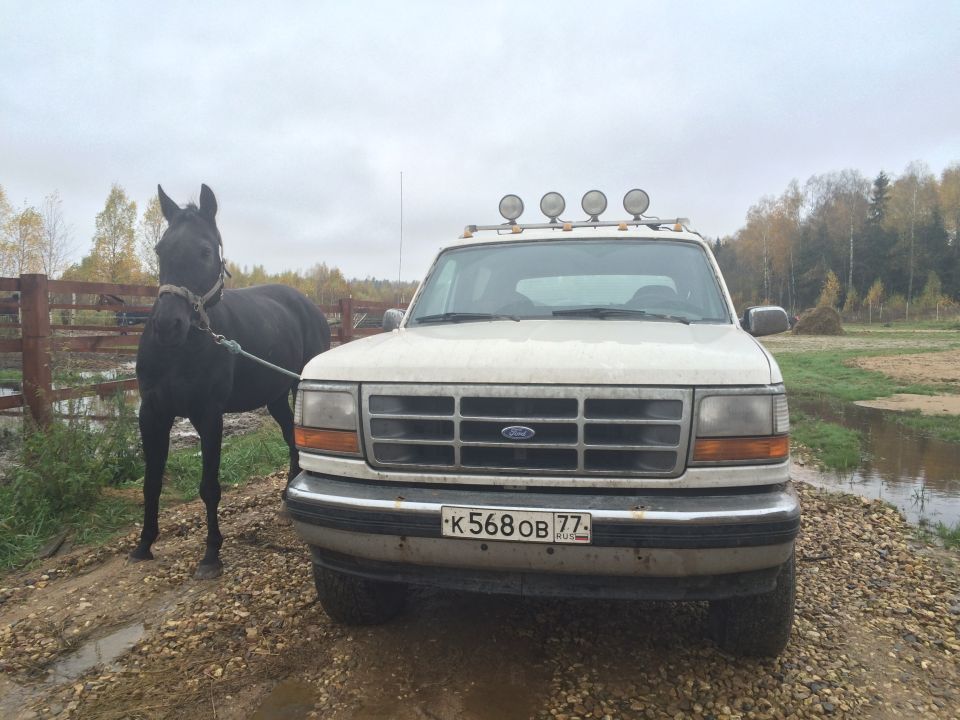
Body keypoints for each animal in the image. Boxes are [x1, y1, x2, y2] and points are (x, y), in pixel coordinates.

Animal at [129, 184, 331, 579]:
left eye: (206, 251)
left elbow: (209, 486)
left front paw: (211, 554)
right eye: (161, 249)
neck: (181, 351)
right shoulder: (153, 413)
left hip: (297, 388)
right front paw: (144, 545)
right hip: (275, 397)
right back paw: (285, 503)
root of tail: (308, 304)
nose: (167, 326)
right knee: (291, 438)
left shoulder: (209, 415)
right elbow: (150, 482)